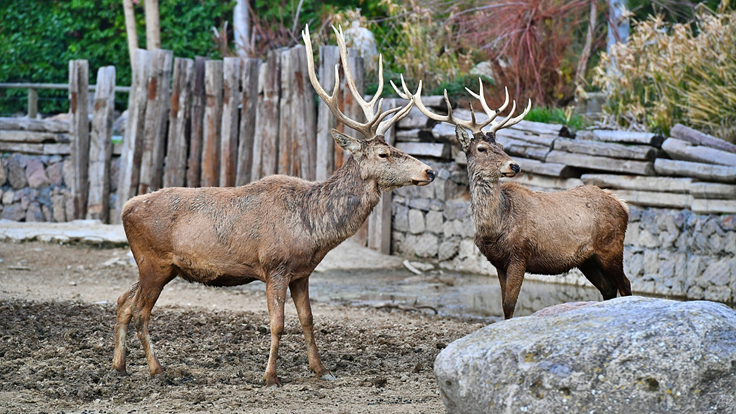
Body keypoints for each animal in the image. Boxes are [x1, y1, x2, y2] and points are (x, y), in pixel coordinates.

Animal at [111, 27, 434, 386]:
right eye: (383, 154)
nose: (429, 171)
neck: (314, 229)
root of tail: (124, 209)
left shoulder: (302, 273)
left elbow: (308, 320)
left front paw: (321, 369)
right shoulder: (274, 266)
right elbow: (277, 323)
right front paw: (270, 376)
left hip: (154, 267)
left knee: (123, 301)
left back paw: (119, 365)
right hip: (154, 262)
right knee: (141, 312)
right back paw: (157, 369)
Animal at [396, 80, 632, 320]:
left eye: (502, 147)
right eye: (482, 148)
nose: (515, 165)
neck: (495, 228)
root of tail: (623, 205)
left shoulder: (520, 254)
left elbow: (510, 304)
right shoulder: (498, 262)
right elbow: (504, 305)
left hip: (611, 247)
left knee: (626, 284)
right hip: (587, 260)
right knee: (608, 288)